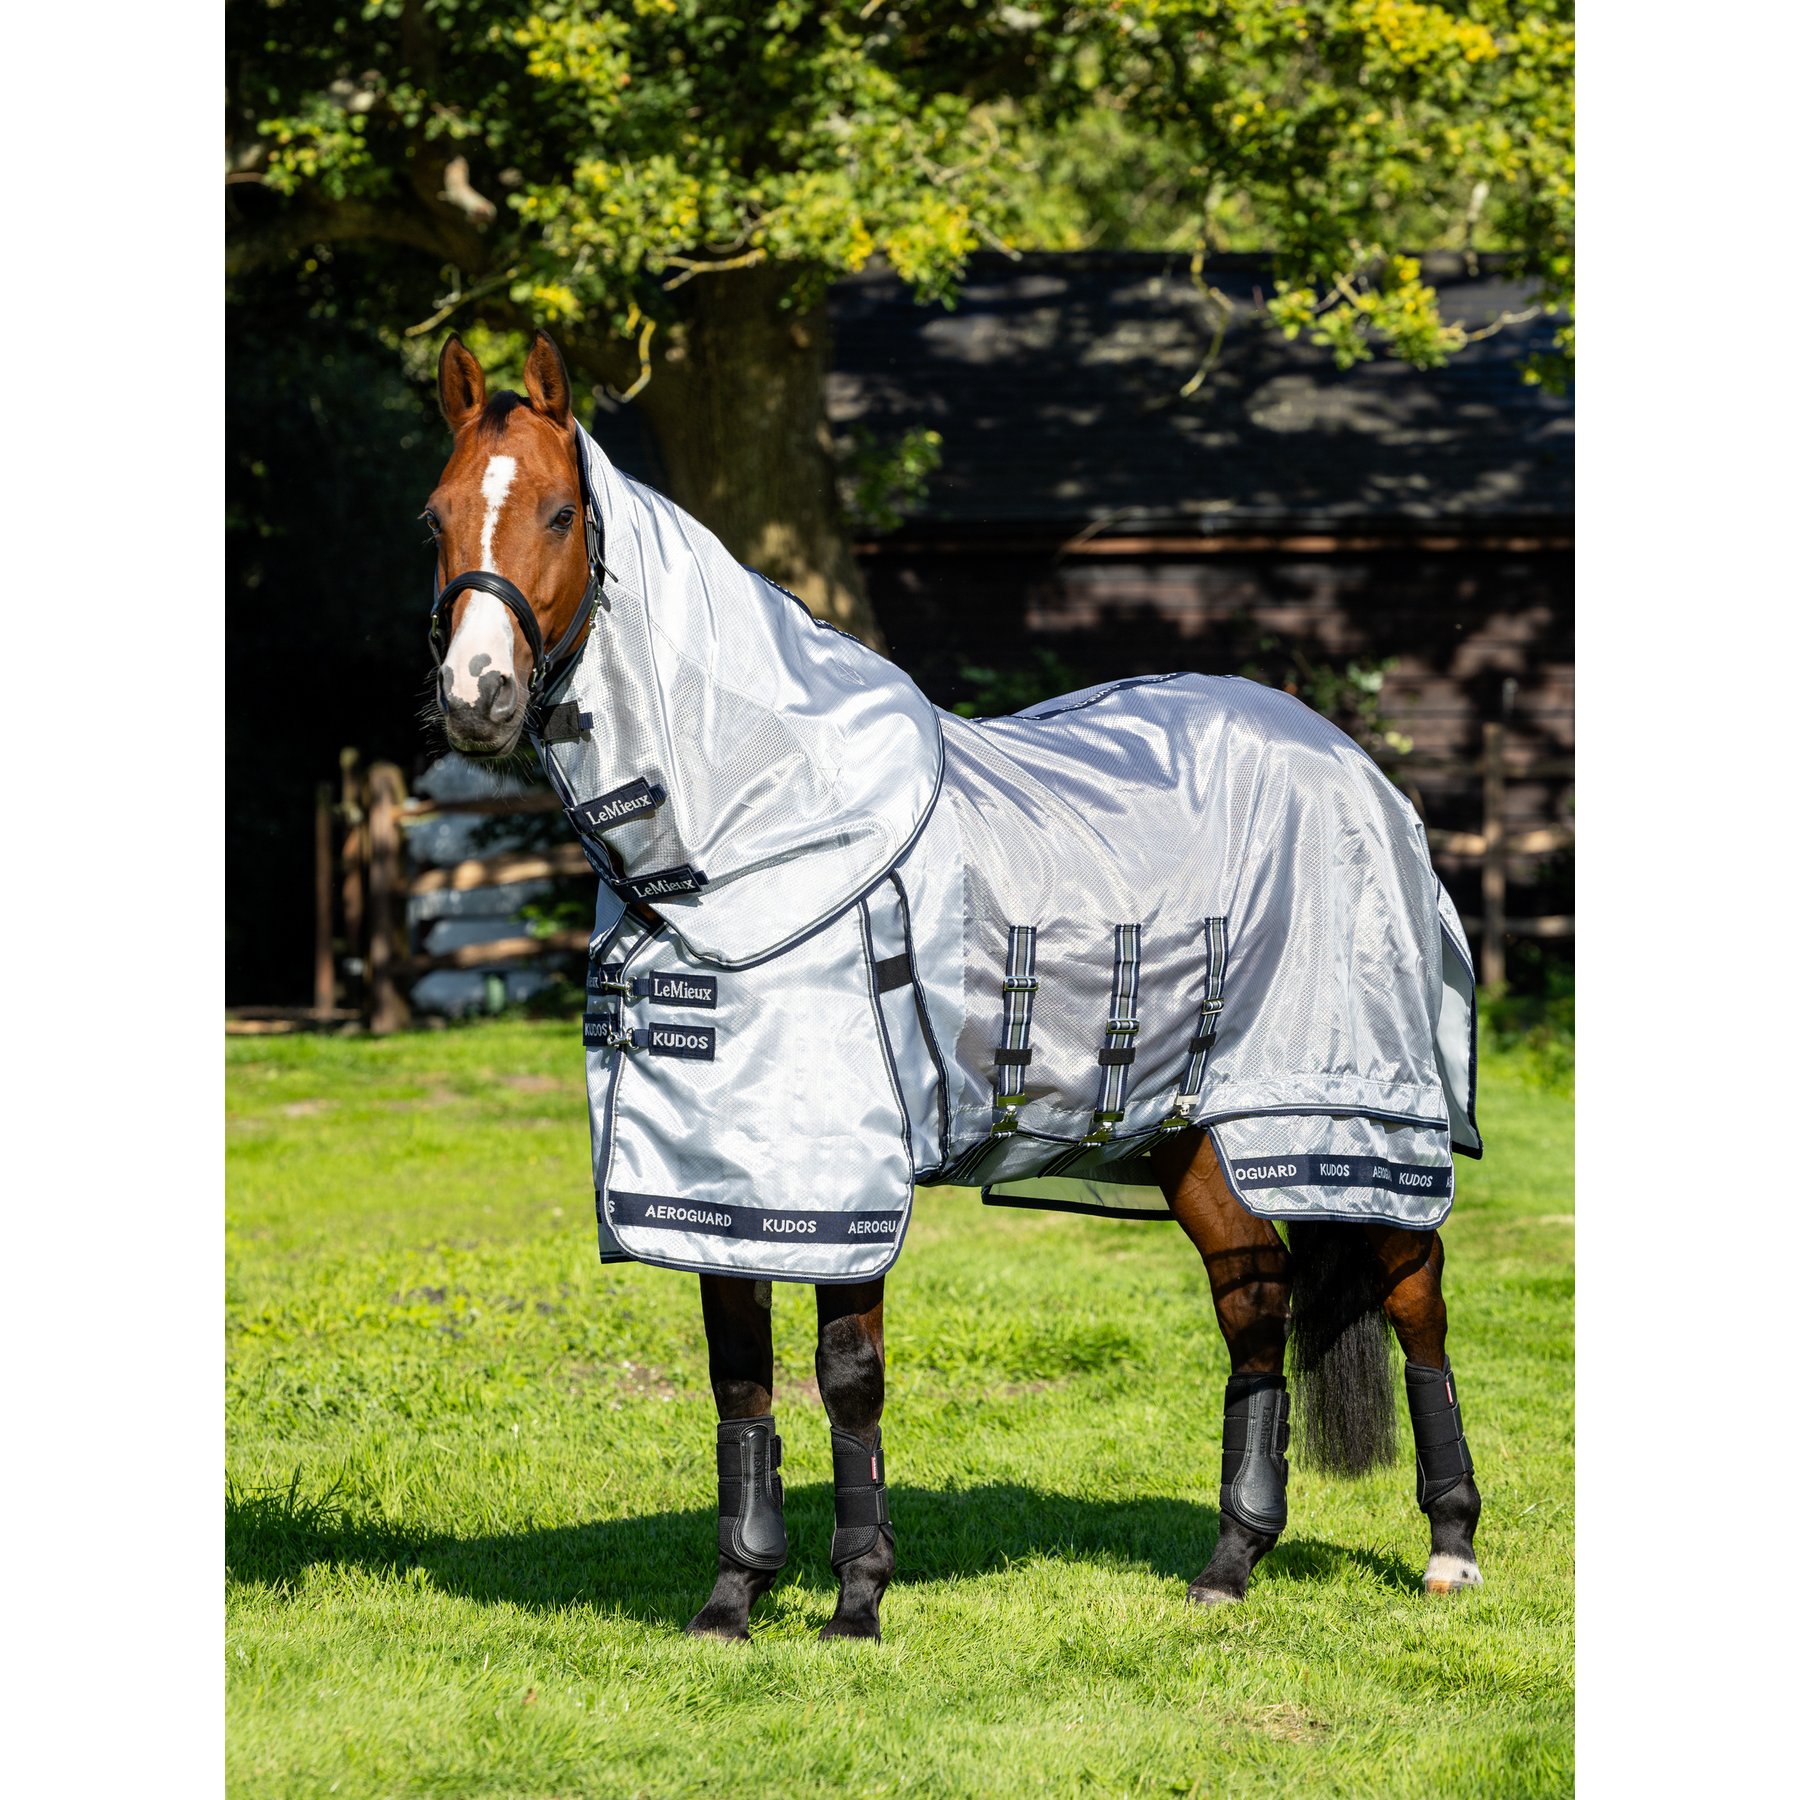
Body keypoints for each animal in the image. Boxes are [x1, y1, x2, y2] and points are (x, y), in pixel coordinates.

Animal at [420, 328, 1484, 1642]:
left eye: (562, 513)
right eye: (435, 517)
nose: (476, 696)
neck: (750, 835)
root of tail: (1358, 766)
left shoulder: (838, 1183)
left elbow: (847, 1377)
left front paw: (857, 1600)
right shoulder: (715, 1176)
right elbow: (739, 1378)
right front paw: (733, 1598)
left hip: (1346, 1118)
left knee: (1413, 1292)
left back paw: (1450, 1550)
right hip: (1192, 1132)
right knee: (1257, 1302)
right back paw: (1231, 1562)